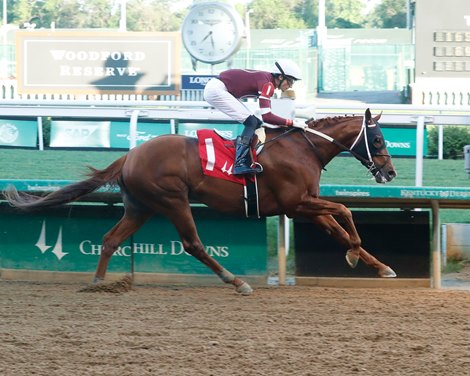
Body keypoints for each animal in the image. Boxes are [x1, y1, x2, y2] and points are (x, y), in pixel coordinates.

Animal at [3, 107, 396, 296]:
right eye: (377, 139)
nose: (390, 173)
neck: (304, 148)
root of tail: (130, 155)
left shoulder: (305, 204)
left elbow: (339, 229)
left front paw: (379, 266)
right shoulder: (294, 203)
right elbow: (345, 211)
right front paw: (355, 254)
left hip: (141, 207)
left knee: (111, 239)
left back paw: (99, 283)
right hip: (172, 200)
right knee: (193, 244)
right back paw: (236, 282)